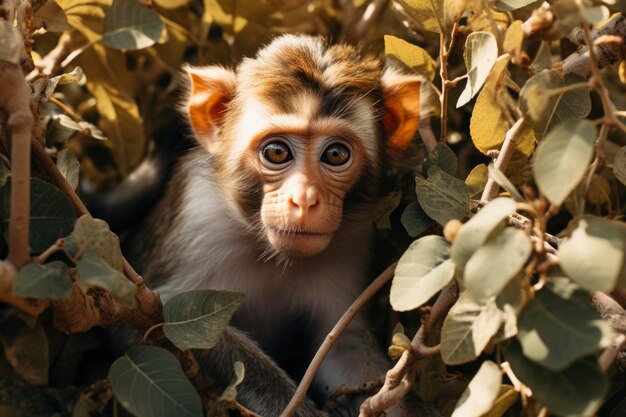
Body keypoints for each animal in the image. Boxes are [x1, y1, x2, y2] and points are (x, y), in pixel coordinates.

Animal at [122, 35, 434, 416]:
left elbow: (342, 344)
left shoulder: (351, 240)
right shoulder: (199, 222)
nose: (304, 199)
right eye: (276, 152)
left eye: (335, 155)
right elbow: (161, 318)